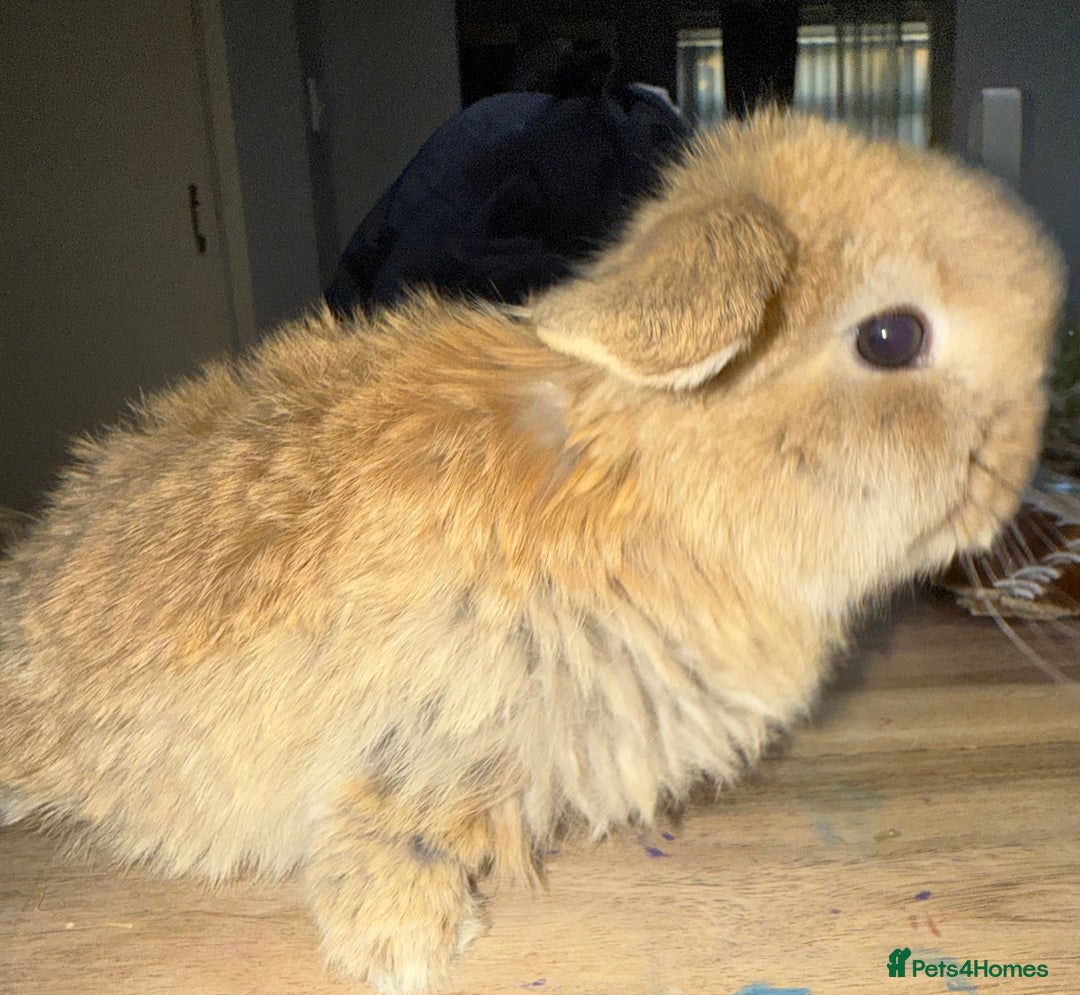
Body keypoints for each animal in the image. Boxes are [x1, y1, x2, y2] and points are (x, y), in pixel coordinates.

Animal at [0, 110, 1065, 994]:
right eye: (891, 336)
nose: (1017, 470)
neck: (648, 468)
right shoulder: (433, 724)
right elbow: (379, 824)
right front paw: (406, 950)